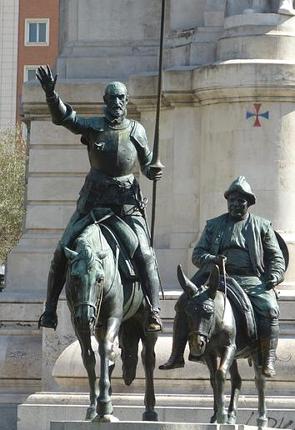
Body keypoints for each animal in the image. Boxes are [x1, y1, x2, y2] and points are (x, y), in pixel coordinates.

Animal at [63, 220, 158, 422]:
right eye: (74, 278)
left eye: (100, 279)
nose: (86, 316)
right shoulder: (77, 322)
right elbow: (89, 357)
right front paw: (93, 406)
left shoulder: (113, 316)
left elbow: (106, 349)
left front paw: (104, 403)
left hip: (146, 323)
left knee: (148, 359)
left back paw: (150, 410)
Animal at [177, 264, 270, 428]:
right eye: (187, 312)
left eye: (209, 312)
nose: (196, 344)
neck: (215, 326)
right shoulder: (210, 353)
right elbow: (213, 379)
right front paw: (216, 416)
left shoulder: (229, 348)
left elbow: (220, 374)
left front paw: (221, 415)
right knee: (237, 380)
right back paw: (231, 416)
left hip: (255, 352)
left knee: (260, 381)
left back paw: (261, 419)